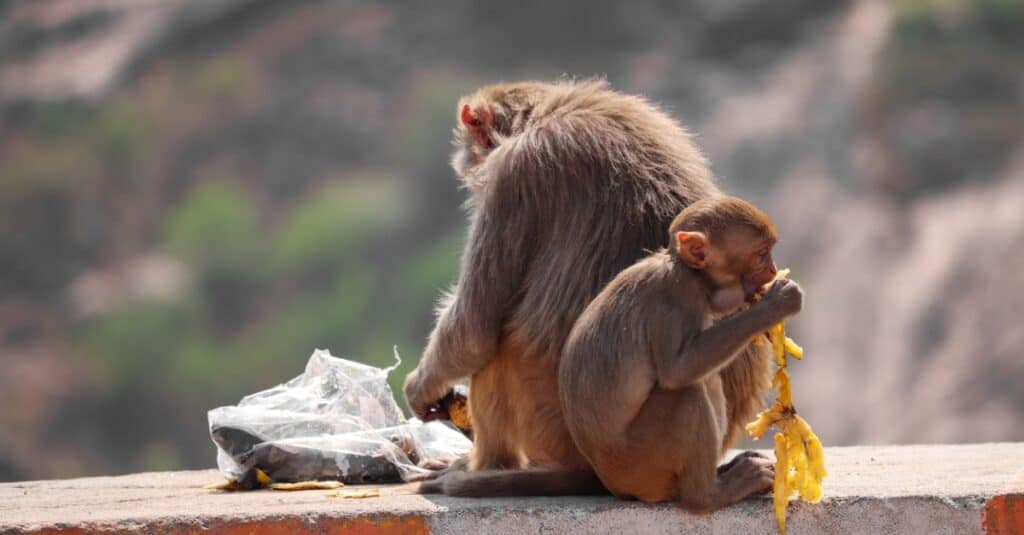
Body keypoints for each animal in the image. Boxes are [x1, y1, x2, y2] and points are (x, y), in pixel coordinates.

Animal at [407, 78, 753, 491]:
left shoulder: (512, 176)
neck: (549, 113)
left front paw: (421, 384)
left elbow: (475, 330)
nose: (464, 159)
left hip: (551, 428)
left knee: (496, 352)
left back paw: (487, 465)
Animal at [561, 193, 798, 510]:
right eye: (761, 254)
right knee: (687, 392)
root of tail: (616, 485)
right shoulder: (676, 296)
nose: (772, 270)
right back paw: (709, 494)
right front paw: (776, 304)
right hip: (643, 461)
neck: (689, 271)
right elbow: (678, 370)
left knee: (707, 381)